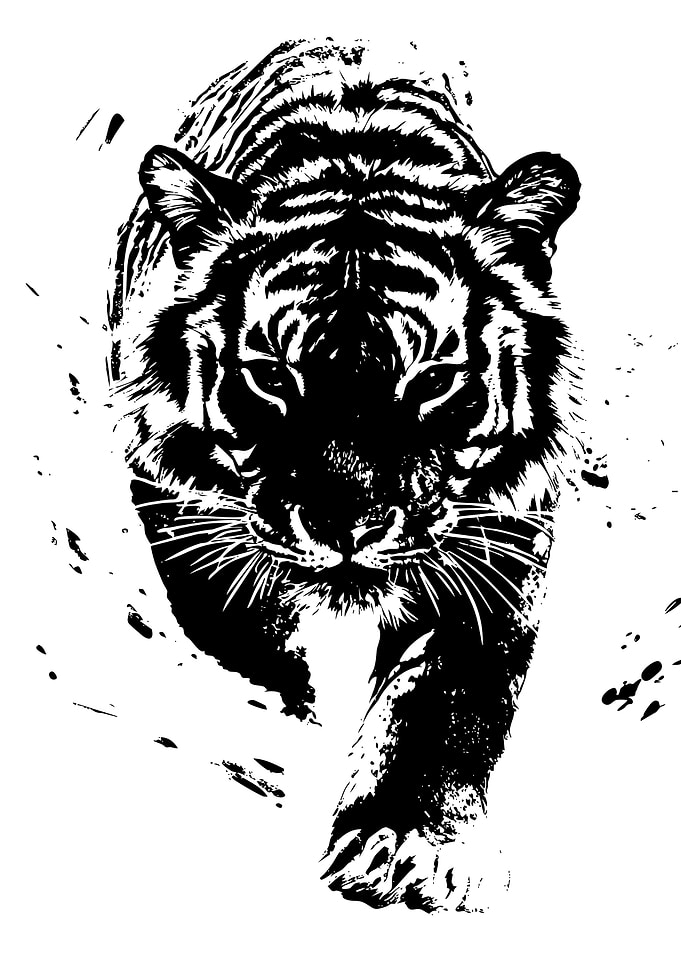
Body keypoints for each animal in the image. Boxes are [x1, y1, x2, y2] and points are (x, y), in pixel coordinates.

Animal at [109, 39, 580, 912]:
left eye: (432, 379)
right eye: (271, 375)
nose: (345, 522)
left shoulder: (498, 536)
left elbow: (443, 695)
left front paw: (409, 845)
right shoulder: (180, 510)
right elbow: (245, 641)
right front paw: (282, 720)